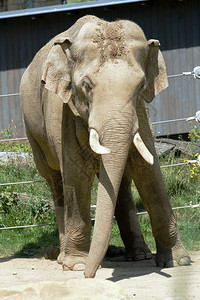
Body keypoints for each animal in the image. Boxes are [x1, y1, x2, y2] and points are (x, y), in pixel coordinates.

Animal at [20, 15, 191, 278]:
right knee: (56, 182)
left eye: (142, 85)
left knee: (122, 183)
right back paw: (61, 257)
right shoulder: (63, 112)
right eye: (86, 85)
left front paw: (177, 262)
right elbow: (77, 174)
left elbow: (148, 171)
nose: (89, 275)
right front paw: (76, 265)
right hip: (33, 134)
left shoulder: (140, 111)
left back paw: (138, 255)